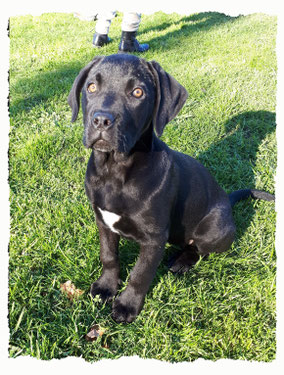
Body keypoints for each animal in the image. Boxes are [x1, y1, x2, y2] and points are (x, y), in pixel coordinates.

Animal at [67, 53, 274, 324]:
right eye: (91, 87)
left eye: (137, 92)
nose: (102, 120)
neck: (115, 170)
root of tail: (227, 201)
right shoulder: (103, 221)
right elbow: (109, 256)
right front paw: (106, 287)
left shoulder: (154, 238)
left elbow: (140, 274)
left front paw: (127, 305)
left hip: (212, 230)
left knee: (200, 250)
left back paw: (181, 261)